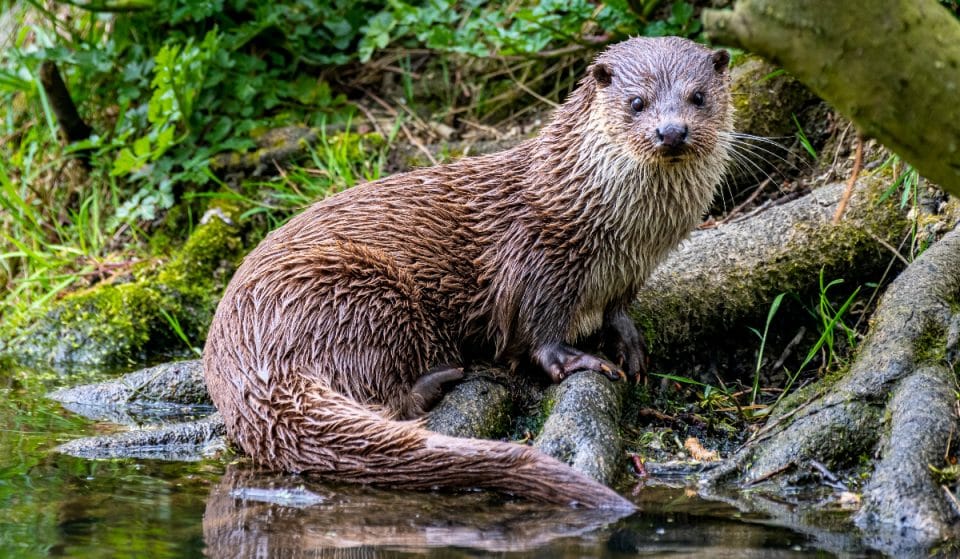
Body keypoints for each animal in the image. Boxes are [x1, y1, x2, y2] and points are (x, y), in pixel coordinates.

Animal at [203, 36, 732, 509]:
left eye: (698, 96)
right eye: (636, 102)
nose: (671, 131)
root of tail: (242, 355)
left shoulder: (629, 272)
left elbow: (619, 310)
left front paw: (628, 343)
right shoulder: (537, 256)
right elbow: (537, 333)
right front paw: (578, 360)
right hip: (359, 288)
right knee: (384, 397)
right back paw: (442, 378)